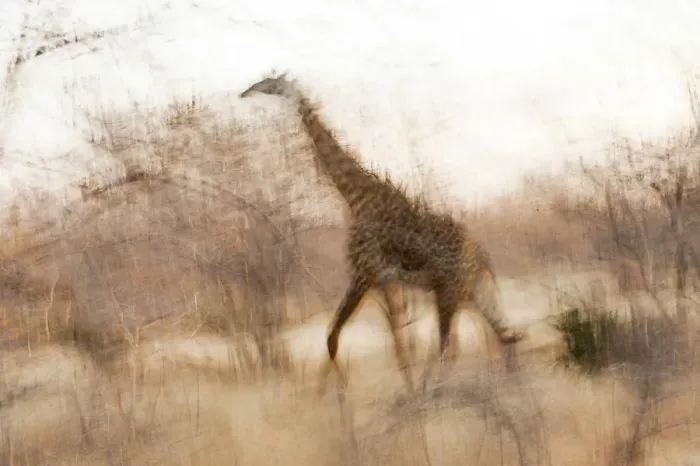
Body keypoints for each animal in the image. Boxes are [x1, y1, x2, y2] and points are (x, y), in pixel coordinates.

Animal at [239, 72, 523, 393]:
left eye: (267, 82)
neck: (356, 198)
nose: (244, 93)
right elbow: (397, 342)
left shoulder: (365, 273)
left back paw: (441, 389)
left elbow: (336, 338)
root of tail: (483, 256)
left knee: (455, 344)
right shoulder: (386, 280)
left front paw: (335, 394)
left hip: (450, 291)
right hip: (470, 291)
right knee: (500, 335)